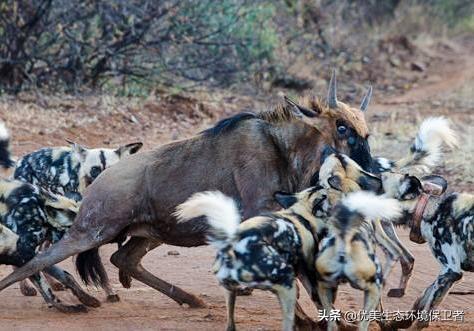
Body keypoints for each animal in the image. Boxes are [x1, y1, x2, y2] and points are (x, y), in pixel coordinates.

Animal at [0, 178, 102, 312]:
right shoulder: (24, 255)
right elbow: (46, 288)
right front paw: (66, 307)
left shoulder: (28, 256)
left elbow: (65, 276)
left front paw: (85, 298)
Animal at [172, 187, 342, 331]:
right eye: (328, 191)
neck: (301, 215)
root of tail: (233, 246)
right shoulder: (310, 276)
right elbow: (325, 306)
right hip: (288, 285)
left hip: (231, 292)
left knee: (230, 325)